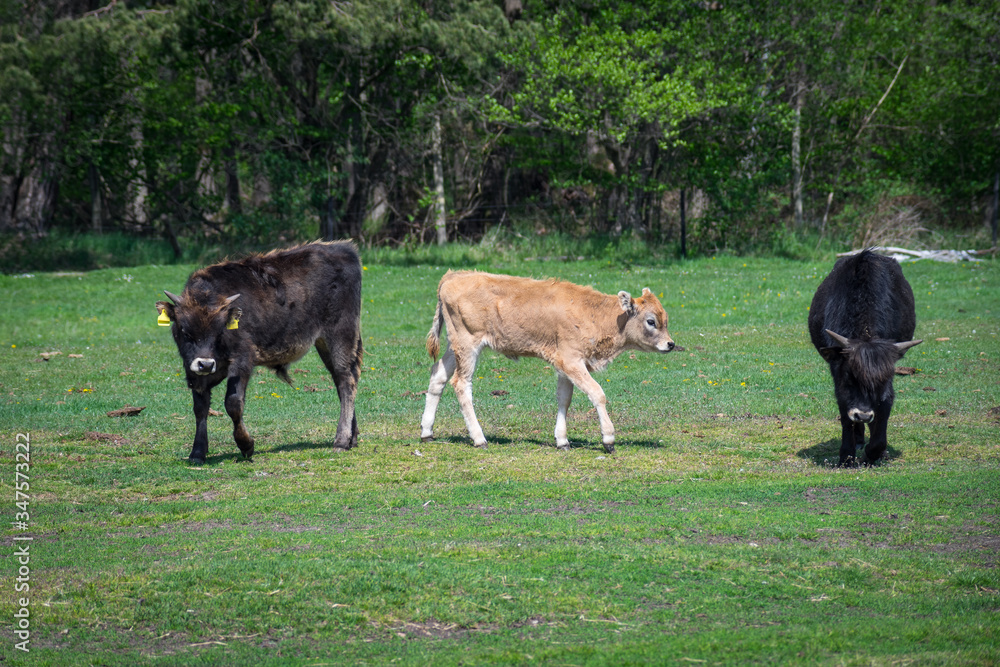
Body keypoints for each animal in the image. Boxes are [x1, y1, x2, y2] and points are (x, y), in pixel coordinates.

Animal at [155, 241, 363, 463]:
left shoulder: (243, 360)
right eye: (185, 331)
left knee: (346, 381)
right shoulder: (194, 371)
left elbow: (233, 402)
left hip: (341, 336)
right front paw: (197, 452)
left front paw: (246, 445)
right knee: (341, 380)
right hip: (324, 343)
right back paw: (352, 438)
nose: (205, 364)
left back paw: (340, 441)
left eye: (219, 332)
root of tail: (345, 250)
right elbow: (200, 407)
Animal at [419, 271, 677, 453]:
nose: (670, 344)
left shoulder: (565, 366)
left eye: (665, 319)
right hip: (468, 345)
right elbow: (597, 393)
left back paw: (427, 432)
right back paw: (479, 438)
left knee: (438, 375)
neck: (595, 314)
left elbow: (564, 399)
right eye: (651, 321)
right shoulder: (572, 362)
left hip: (454, 347)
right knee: (461, 384)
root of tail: (454, 275)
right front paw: (608, 439)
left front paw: (562, 440)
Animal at [808, 249, 922, 466]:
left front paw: (876, 451)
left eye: (881, 381)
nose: (862, 415)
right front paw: (847, 455)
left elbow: (885, 403)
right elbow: (844, 408)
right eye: (850, 377)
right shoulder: (838, 373)